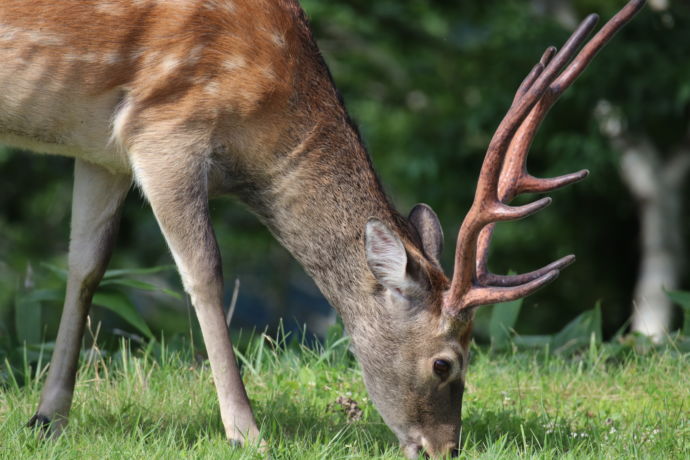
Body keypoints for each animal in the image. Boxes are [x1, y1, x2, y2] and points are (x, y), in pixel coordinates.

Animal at [2, 0, 644, 458]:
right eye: (446, 363)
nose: (446, 449)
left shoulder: (101, 149)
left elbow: (86, 267)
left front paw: (47, 418)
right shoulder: (164, 129)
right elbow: (204, 273)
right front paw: (247, 433)